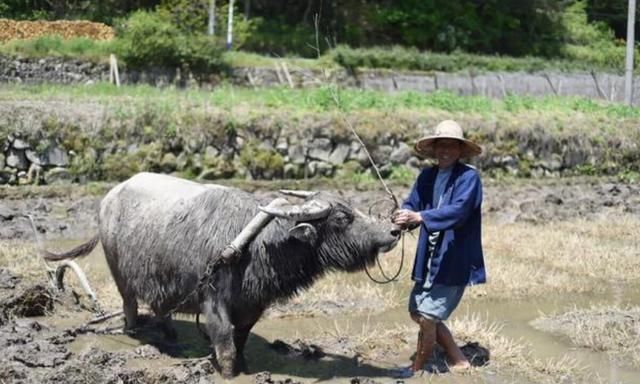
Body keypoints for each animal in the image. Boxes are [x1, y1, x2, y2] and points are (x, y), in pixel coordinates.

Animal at [42, 172, 398, 376]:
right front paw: (228, 372)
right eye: (341, 218)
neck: (255, 246)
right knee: (130, 306)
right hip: (121, 277)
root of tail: (109, 197)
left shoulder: (252, 306)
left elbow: (241, 339)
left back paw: (170, 335)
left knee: (161, 308)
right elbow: (224, 342)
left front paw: (245, 368)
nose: (393, 231)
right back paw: (134, 331)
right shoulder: (213, 303)